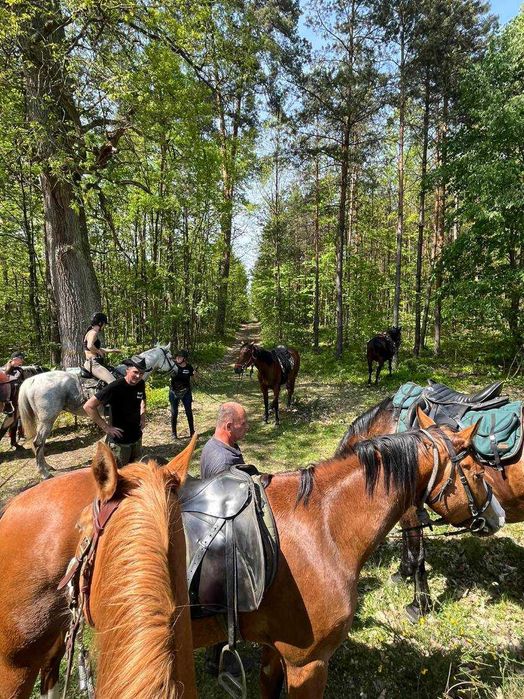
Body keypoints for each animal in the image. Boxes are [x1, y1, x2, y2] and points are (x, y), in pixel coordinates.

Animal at [17, 344, 176, 479]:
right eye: (171, 356)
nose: (176, 370)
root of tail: (32, 380)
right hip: (47, 420)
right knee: (38, 442)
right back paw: (44, 472)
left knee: (40, 443)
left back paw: (47, 466)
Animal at [336, 390, 524, 621]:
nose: (499, 516)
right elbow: (409, 543)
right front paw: (402, 573)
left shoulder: (409, 506)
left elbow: (417, 552)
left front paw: (419, 605)